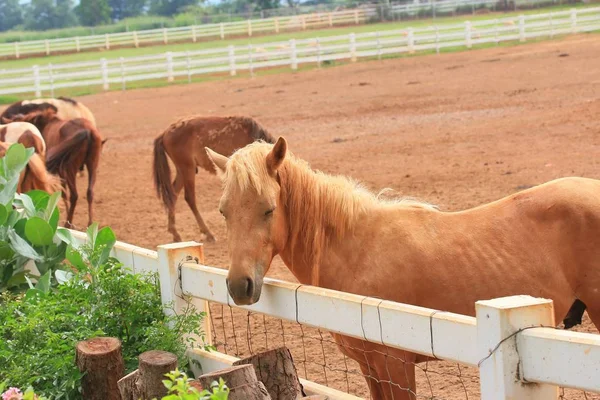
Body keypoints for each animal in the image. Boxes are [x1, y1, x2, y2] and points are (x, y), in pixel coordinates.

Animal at [151, 114, 276, 242]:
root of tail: (165, 133)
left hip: (182, 171)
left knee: (173, 195)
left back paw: (175, 233)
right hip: (187, 169)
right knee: (189, 198)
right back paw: (207, 233)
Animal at [205, 138, 600, 400]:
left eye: (268, 209)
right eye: (224, 211)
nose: (239, 285)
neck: (358, 250)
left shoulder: (394, 363)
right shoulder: (369, 367)